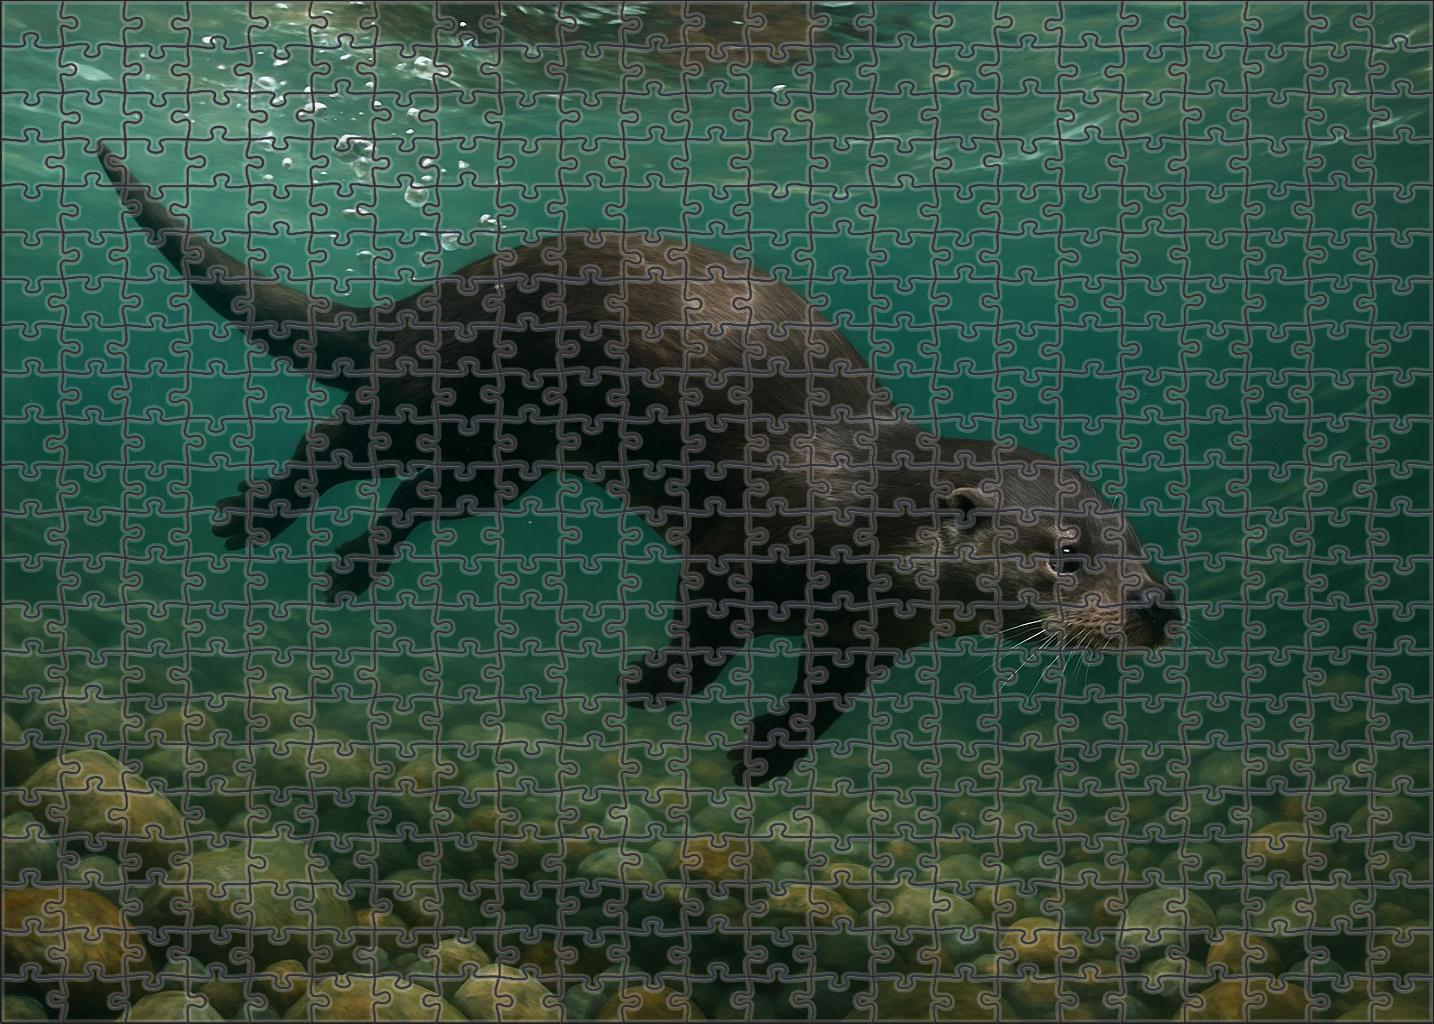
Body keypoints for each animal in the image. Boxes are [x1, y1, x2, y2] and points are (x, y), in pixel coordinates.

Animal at [96, 144, 1180, 785]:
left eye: (1144, 551)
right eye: (1068, 554)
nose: (1158, 608)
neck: (873, 511)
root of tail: (419, 304)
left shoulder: (870, 635)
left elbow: (822, 701)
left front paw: (764, 756)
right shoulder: (746, 545)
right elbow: (708, 630)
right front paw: (654, 684)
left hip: (502, 463)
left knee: (421, 498)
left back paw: (352, 569)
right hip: (437, 393)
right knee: (337, 448)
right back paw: (253, 515)